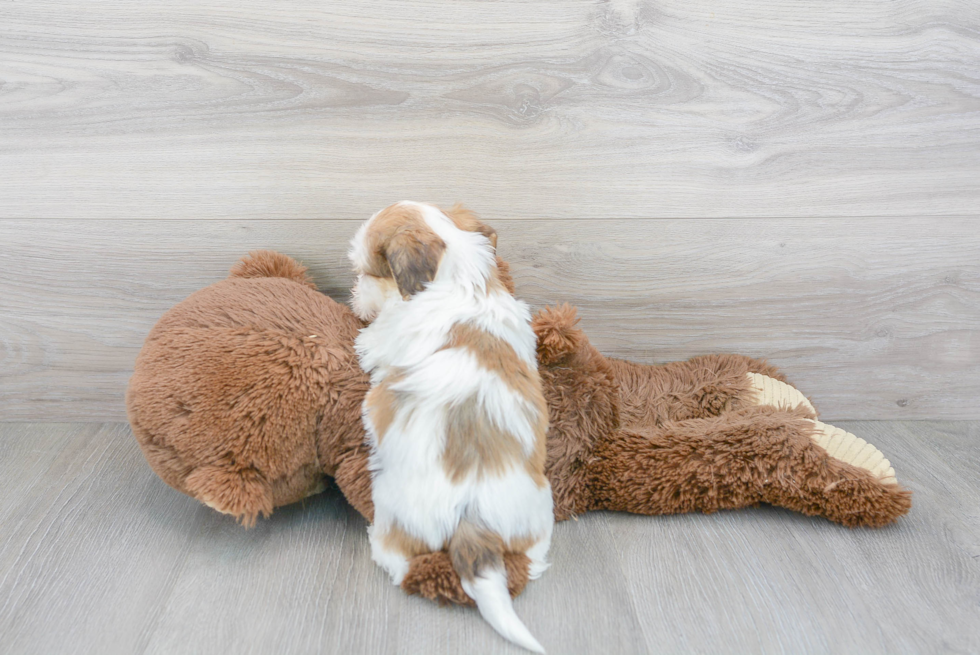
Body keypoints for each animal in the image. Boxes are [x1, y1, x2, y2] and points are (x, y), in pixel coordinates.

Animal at [350, 202, 552, 652]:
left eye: (367, 273)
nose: (353, 295)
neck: (463, 281)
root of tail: (471, 516)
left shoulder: (380, 339)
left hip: (395, 512)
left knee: (399, 557)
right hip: (536, 513)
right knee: (528, 560)